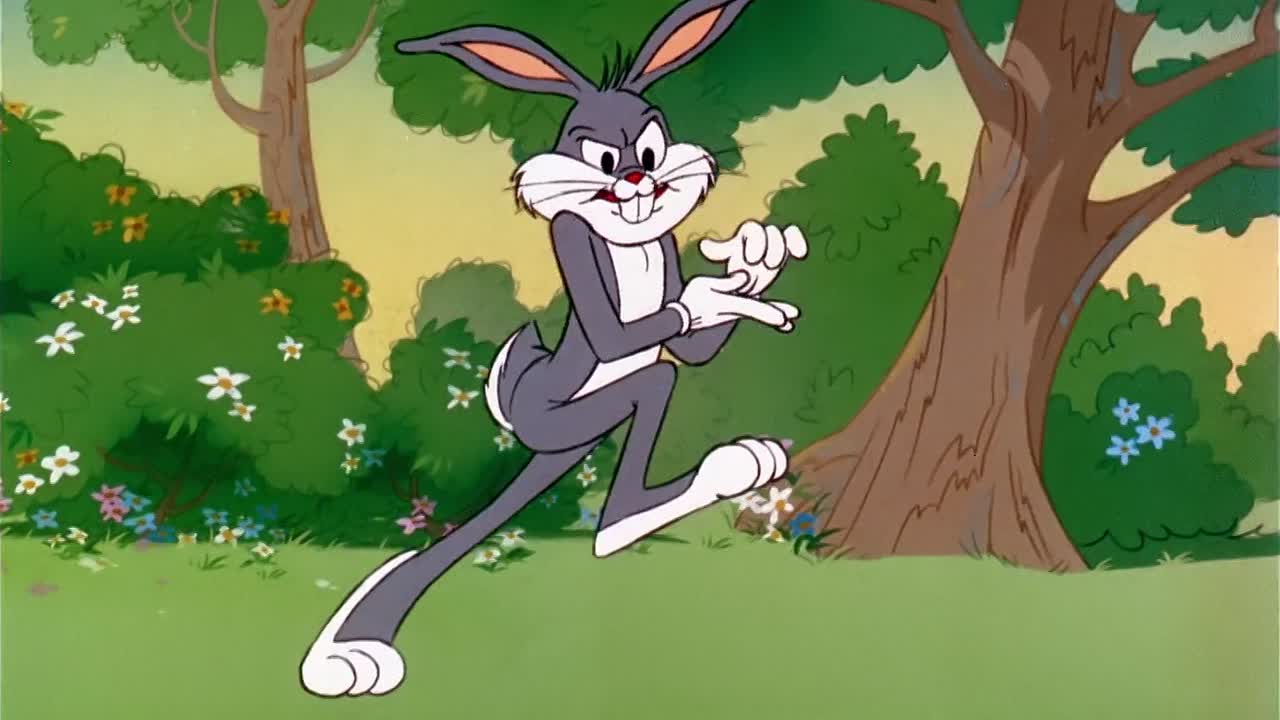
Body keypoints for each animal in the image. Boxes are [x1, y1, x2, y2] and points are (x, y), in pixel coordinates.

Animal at [300, 0, 809, 699]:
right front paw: (719, 294)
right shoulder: (573, 240)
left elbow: (694, 352)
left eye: (649, 148)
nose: (638, 176)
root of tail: (530, 428)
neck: (627, 235)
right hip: (564, 418)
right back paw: (627, 520)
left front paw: (757, 265)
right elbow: (625, 334)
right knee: (653, 387)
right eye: (602, 156)